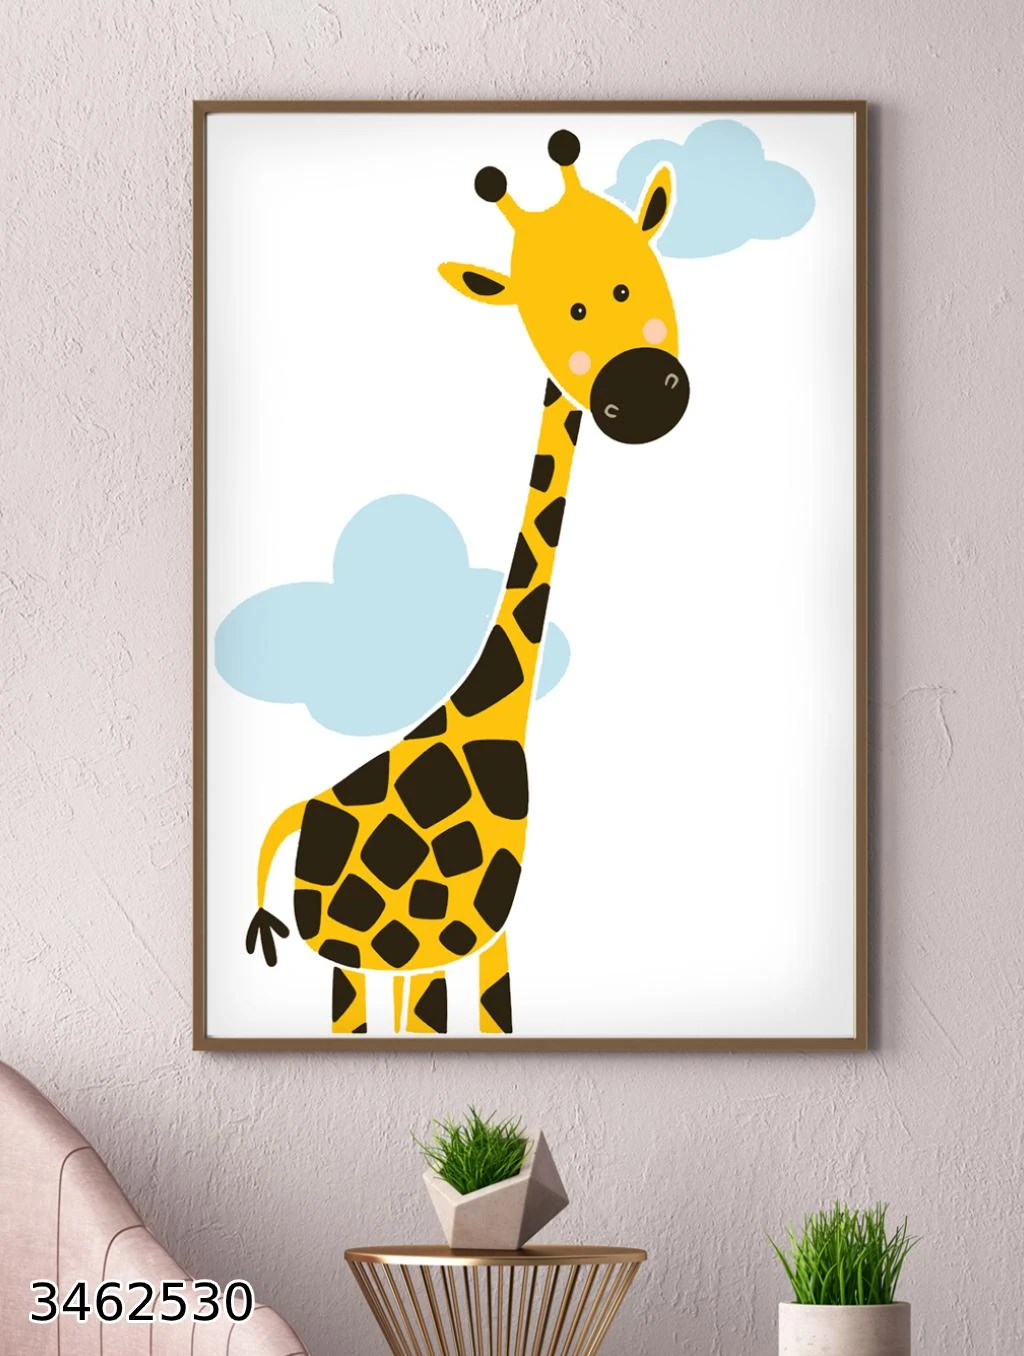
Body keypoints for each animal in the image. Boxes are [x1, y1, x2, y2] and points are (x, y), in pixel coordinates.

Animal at [245, 128, 689, 1035]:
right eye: (560, 309)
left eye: (632, 275)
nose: (640, 396)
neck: (498, 710)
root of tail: (294, 816)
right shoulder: (437, 941)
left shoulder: (485, 936)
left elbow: (496, 1018)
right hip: (355, 956)